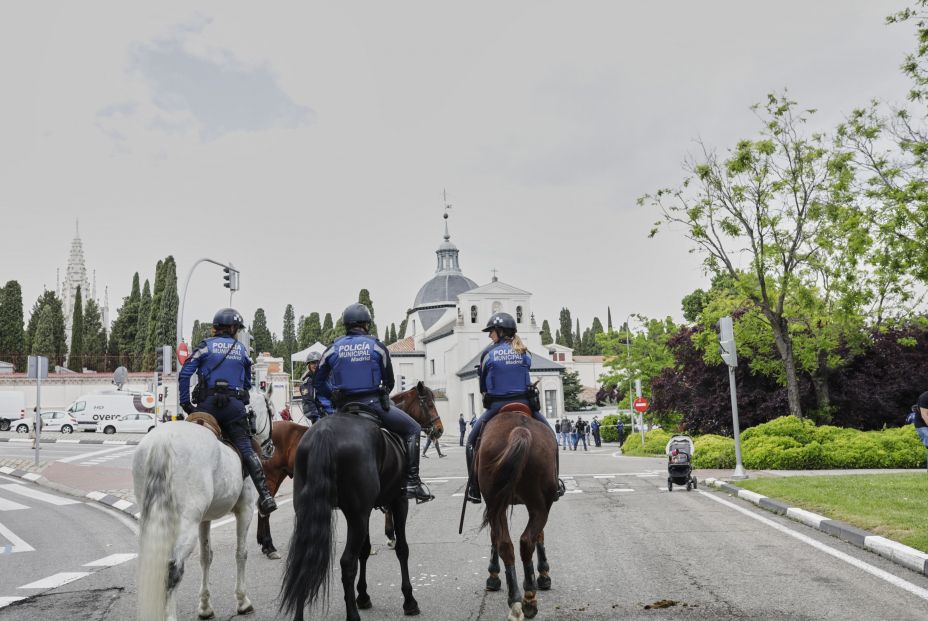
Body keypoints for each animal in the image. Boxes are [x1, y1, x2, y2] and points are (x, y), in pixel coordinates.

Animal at [132, 388, 274, 620]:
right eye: (272, 410)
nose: (271, 448)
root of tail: (163, 441)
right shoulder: (245, 510)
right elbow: (241, 553)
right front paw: (243, 601)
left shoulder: (204, 520)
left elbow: (206, 556)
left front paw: (205, 607)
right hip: (186, 523)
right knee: (173, 570)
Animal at [254, 380, 442, 560]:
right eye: (429, 404)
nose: (439, 429)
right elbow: (388, 507)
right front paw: (390, 536)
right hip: (271, 477)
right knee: (265, 509)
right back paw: (269, 546)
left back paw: (264, 544)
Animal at [278, 382, 440, 620]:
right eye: (428, 403)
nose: (439, 428)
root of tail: (324, 433)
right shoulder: (398, 502)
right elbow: (402, 549)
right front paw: (409, 600)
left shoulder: (366, 510)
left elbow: (365, 550)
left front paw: (362, 596)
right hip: (358, 515)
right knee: (347, 563)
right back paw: (353, 615)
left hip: (311, 511)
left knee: (304, 560)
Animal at [478, 404, 560, 616]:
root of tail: (520, 430)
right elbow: (539, 536)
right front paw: (544, 574)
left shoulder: (496, 504)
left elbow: (496, 538)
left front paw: (493, 576)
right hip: (538, 506)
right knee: (525, 541)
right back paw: (528, 598)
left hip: (499, 503)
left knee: (507, 543)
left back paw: (517, 600)